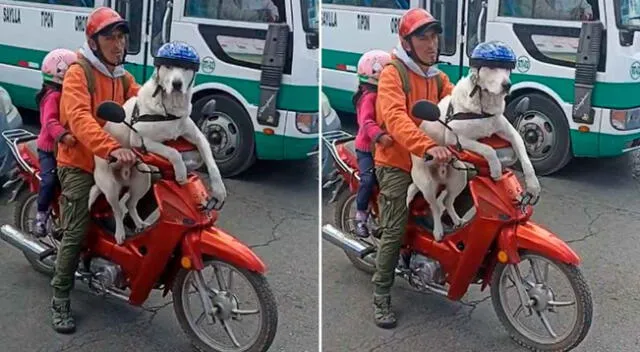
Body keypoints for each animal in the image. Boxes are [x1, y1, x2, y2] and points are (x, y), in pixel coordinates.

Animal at [87, 64, 228, 245]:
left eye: (185, 69)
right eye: (168, 67)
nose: (177, 84)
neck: (170, 110)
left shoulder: (198, 137)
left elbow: (211, 162)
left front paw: (219, 190)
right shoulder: (141, 141)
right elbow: (173, 152)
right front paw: (181, 172)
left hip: (142, 179)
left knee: (131, 204)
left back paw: (139, 224)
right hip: (110, 186)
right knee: (117, 210)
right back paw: (119, 234)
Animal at [404, 66, 540, 242]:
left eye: (507, 69)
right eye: (492, 68)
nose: (507, 85)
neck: (483, 107)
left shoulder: (511, 133)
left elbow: (524, 157)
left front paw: (533, 185)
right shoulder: (456, 139)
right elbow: (487, 148)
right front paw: (496, 168)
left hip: (459, 177)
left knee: (447, 201)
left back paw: (456, 221)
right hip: (427, 183)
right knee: (433, 206)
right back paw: (438, 231)